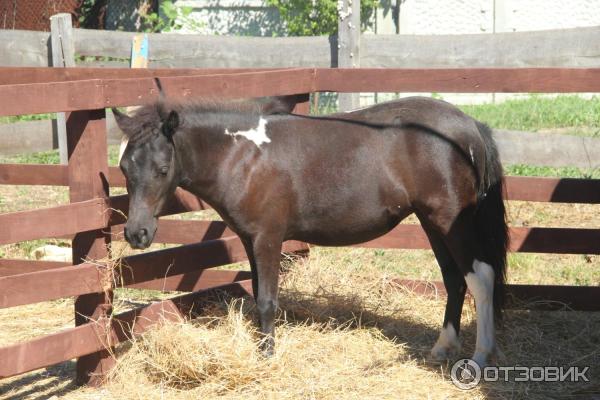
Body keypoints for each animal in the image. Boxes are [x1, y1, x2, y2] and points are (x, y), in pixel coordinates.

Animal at [112, 93, 506, 366]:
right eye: (124, 168)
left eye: (163, 169)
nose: (137, 233)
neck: (243, 157)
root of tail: (469, 123)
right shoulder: (251, 241)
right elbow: (258, 295)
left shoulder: (268, 239)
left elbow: (267, 300)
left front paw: (268, 356)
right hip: (432, 222)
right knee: (454, 279)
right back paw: (442, 348)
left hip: (451, 222)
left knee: (481, 277)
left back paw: (480, 355)